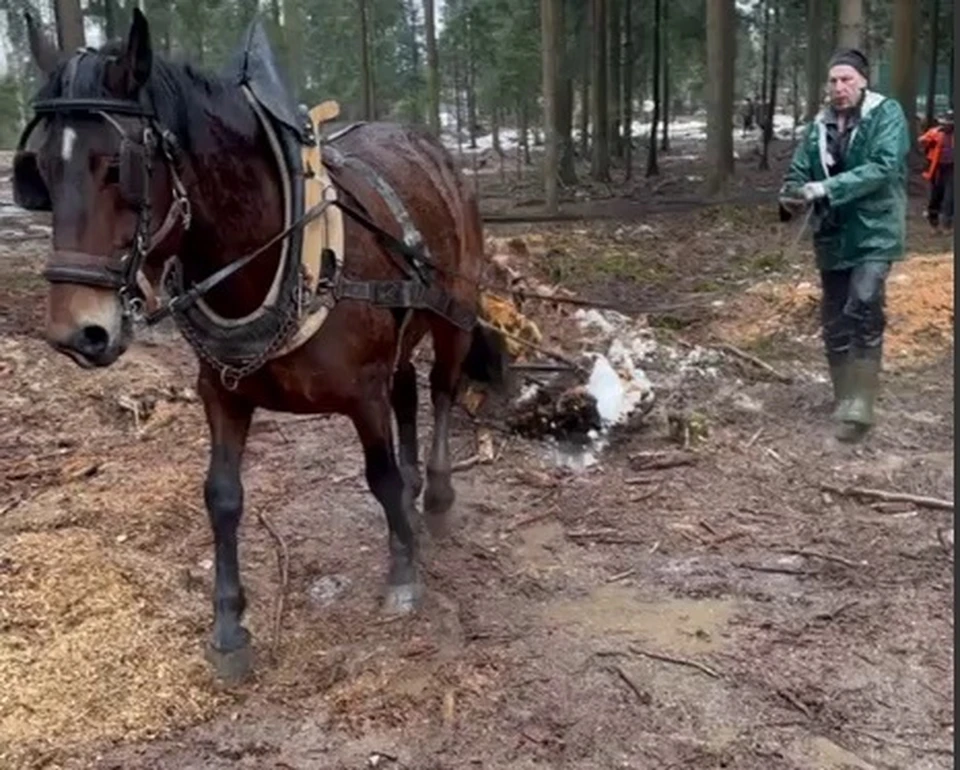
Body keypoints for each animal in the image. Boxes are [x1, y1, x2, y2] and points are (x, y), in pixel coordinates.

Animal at [18, 9, 506, 676]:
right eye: (38, 169)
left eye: (118, 165)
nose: (77, 333)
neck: (282, 249)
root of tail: (432, 148)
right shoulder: (221, 393)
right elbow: (222, 495)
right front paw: (229, 625)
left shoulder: (362, 393)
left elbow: (378, 475)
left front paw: (404, 572)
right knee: (408, 391)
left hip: (455, 310)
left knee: (441, 391)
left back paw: (432, 497)